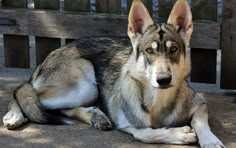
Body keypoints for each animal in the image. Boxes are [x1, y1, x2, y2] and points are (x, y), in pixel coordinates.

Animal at [3, 0, 225, 147]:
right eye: (149, 50)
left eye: (174, 50)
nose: (163, 80)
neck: (159, 100)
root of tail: (51, 54)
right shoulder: (127, 125)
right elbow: (147, 134)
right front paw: (179, 134)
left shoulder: (200, 104)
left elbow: (200, 122)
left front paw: (211, 141)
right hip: (85, 85)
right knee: (24, 93)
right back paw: (14, 116)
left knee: (57, 106)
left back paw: (97, 116)